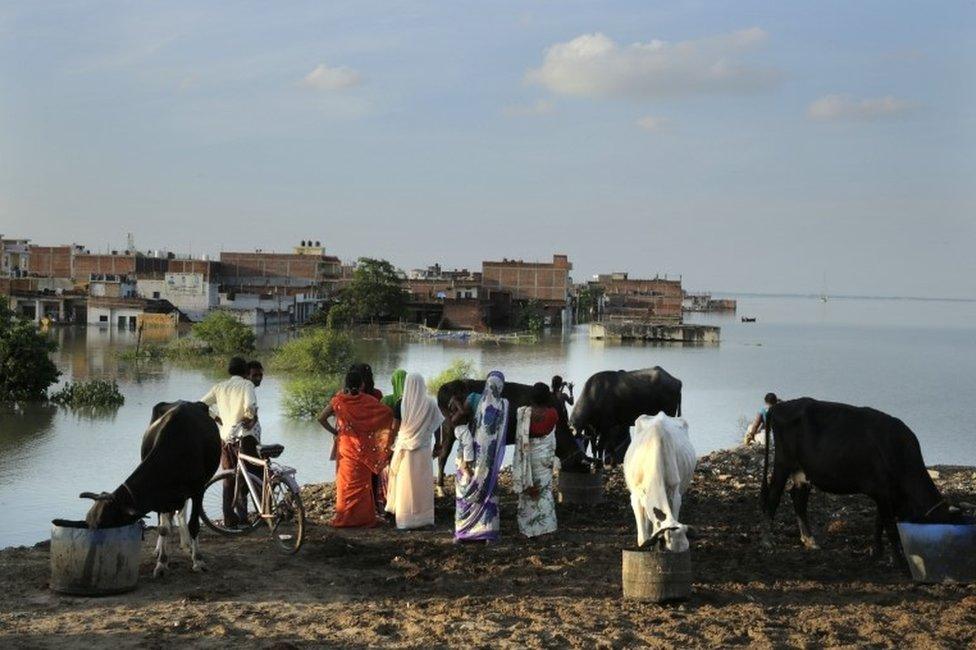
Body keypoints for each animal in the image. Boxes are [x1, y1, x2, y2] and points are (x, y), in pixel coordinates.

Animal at [80, 400, 221, 576]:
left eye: (105, 525)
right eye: (89, 523)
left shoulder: (198, 490)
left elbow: (194, 525)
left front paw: (198, 561)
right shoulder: (160, 496)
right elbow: (163, 528)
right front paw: (161, 563)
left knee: (182, 516)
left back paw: (188, 547)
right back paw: (160, 550)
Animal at [434, 374, 588, 486]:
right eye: (580, 463)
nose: (584, 472)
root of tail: (444, 387)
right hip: (450, 428)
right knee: (443, 456)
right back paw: (440, 485)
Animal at [764, 398, 960, 560]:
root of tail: (780, 406)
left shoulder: (886, 494)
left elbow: (879, 522)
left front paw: (877, 552)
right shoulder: (882, 491)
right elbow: (890, 527)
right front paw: (899, 560)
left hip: (803, 471)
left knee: (799, 499)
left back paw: (810, 540)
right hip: (783, 462)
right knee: (773, 496)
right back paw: (767, 541)